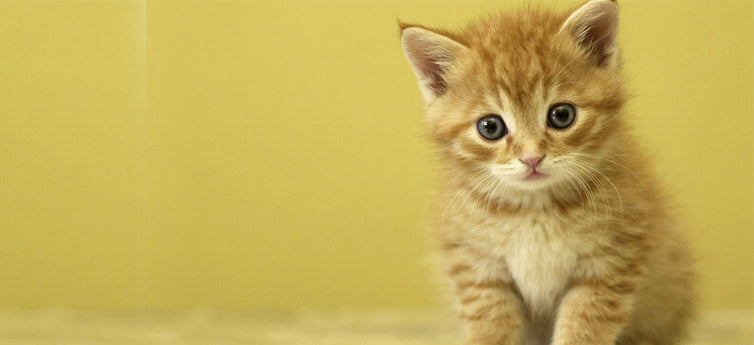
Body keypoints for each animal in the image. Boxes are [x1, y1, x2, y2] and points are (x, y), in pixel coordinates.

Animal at [400, 0, 692, 344]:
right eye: (490, 127)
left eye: (562, 115)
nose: (532, 158)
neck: (535, 209)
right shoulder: (476, 265)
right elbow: (492, 323)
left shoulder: (611, 260)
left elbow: (584, 326)